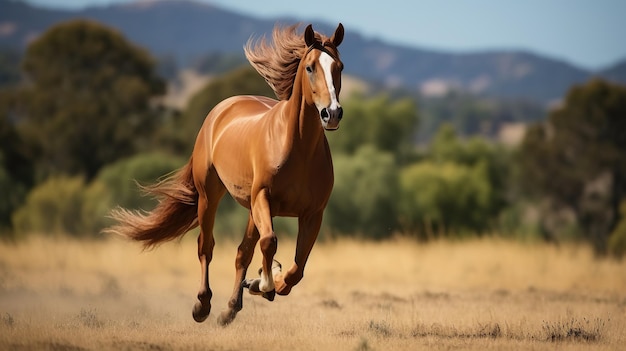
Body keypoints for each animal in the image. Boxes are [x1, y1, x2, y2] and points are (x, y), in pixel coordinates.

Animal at [105, 23, 344, 328]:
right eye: (311, 67)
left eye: (339, 66)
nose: (332, 114)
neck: (297, 147)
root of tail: (221, 109)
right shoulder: (263, 198)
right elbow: (270, 242)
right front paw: (263, 284)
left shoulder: (313, 214)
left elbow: (295, 269)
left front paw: (264, 283)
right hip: (210, 196)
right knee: (206, 246)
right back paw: (202, 305)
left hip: (251, 209)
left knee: (243, 252)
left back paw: (231, 308)